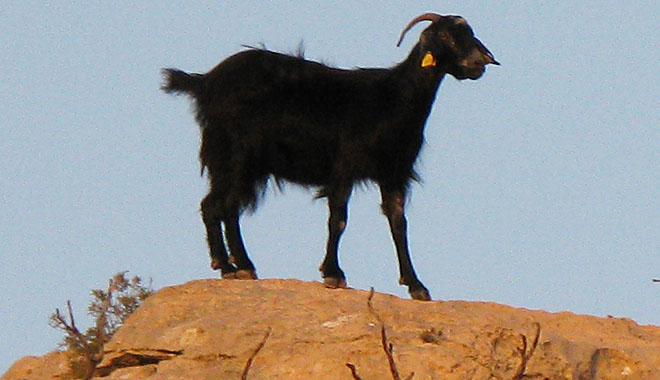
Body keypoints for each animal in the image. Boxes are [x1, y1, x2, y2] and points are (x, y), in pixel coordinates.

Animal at [162, 12, 498, 300]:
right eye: (444, 35)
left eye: (470, 34)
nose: (477, 64)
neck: (393, 98)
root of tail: (205, 81)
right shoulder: (344, 166)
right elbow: (338, 218)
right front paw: (333, 273)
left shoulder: (394, 173)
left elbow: (399, 225)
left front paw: (416, 285)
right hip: (238, 154)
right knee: (222, 206)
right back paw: (235, 266)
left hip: (236, 162)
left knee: (219, 206)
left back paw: (234, 265)